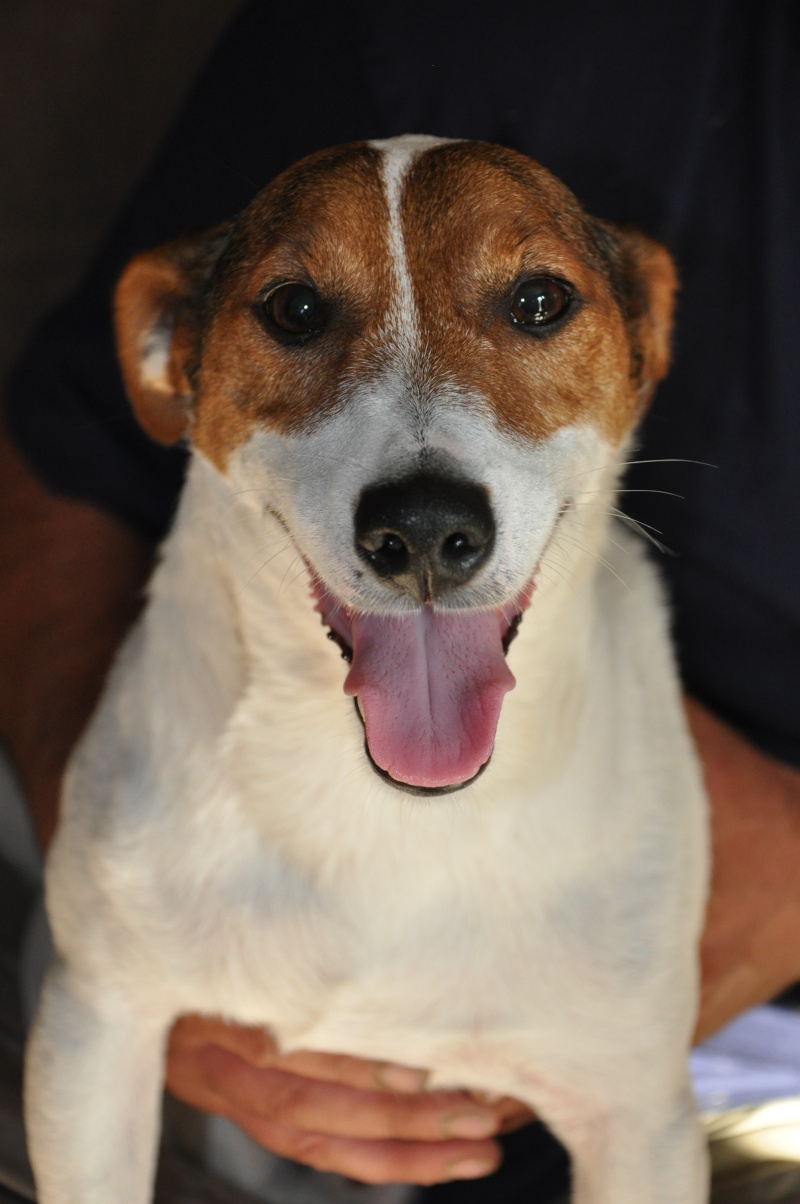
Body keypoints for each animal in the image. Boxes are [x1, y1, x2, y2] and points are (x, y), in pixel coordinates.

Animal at [25, 136, 708, 1199]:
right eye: (295, 309)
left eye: (540, 301)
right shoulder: (94, 1033)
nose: (424, 528)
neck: (385, 812)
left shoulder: (641, 1121)